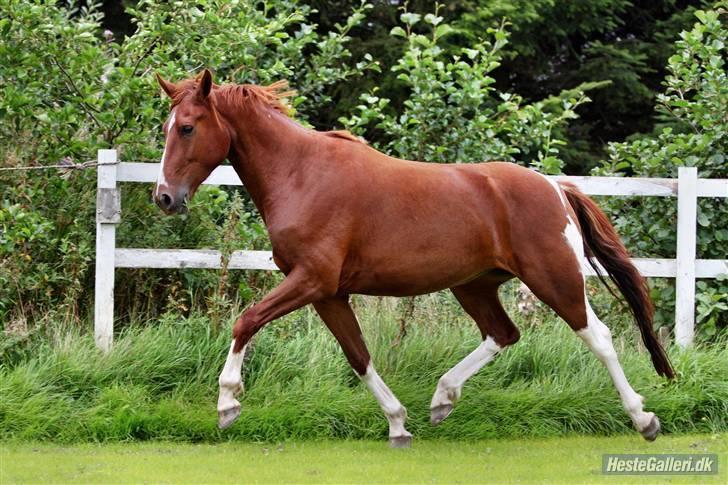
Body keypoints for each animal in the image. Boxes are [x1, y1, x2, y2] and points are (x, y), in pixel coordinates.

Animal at [154, 69, 676, 446]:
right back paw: (443, 398)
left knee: (599, 337)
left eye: (187, 128)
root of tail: (555, 187)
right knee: (503, 334)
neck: (301, 174)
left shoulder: (311, 280)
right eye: (165, 128)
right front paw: (398, 424)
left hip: (554, 277)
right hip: (474, 285)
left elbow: (246, 321)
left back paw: (644, 419)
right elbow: (358, 355)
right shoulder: (328, 293)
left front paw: (227, 405)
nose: (164, 198)